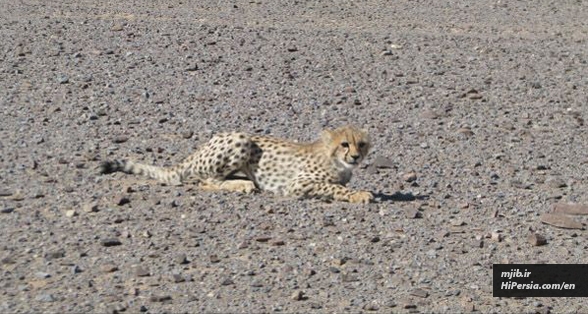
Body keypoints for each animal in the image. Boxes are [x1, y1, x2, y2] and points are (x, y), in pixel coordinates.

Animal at [97, 125, 372, 204]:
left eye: (362, 144)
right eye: (345, 144)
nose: (355, 157)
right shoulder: (297, 184)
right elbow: (334, 187)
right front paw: (360, 194)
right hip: (241, 138)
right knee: (205, 181)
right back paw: (242, 186)